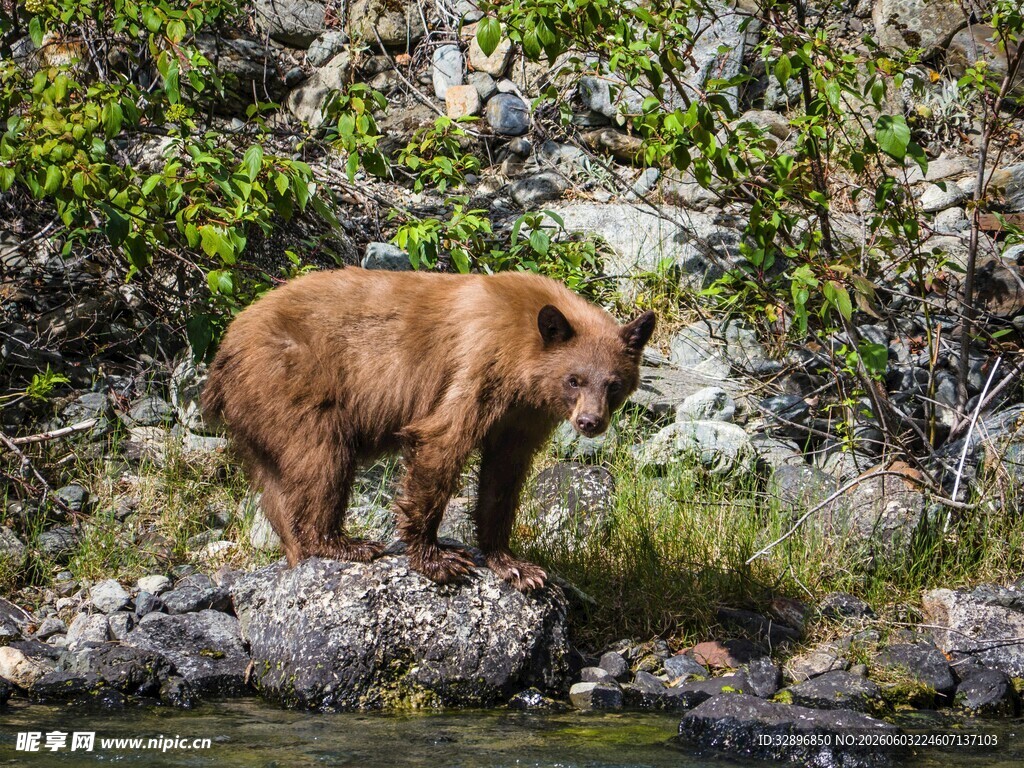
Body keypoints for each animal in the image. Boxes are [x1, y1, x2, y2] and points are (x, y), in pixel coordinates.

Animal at [201, 267, 655, 590]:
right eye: (575, 379)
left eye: (613, 384)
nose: (589, 422)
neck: (522, 353)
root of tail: (226, 347)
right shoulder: (476, 365)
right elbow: (443, 442)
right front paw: (438, 559)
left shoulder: (523, 414)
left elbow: (503, 476)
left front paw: (515, 565)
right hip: (294, 382)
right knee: (322, 459)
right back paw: (345, 544)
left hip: (259, 415)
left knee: (276, 484)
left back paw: (299, 551)